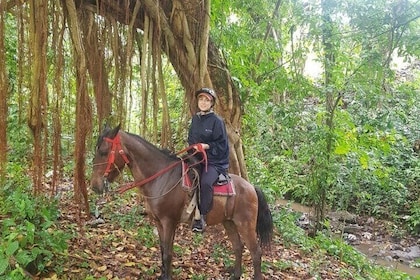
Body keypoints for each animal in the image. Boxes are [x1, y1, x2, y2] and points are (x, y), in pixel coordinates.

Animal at [90, 125, 274, 280]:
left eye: (104, 152)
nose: (95, 186)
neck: (161, 177)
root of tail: (251, 187)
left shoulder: (169, 221)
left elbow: (168, 253)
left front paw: (166, 277)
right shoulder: (159, 222)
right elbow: (164, 249)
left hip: (245, 224)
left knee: (255, 252)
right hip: (229, 222)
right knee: (238, 247)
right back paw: (235, 275)